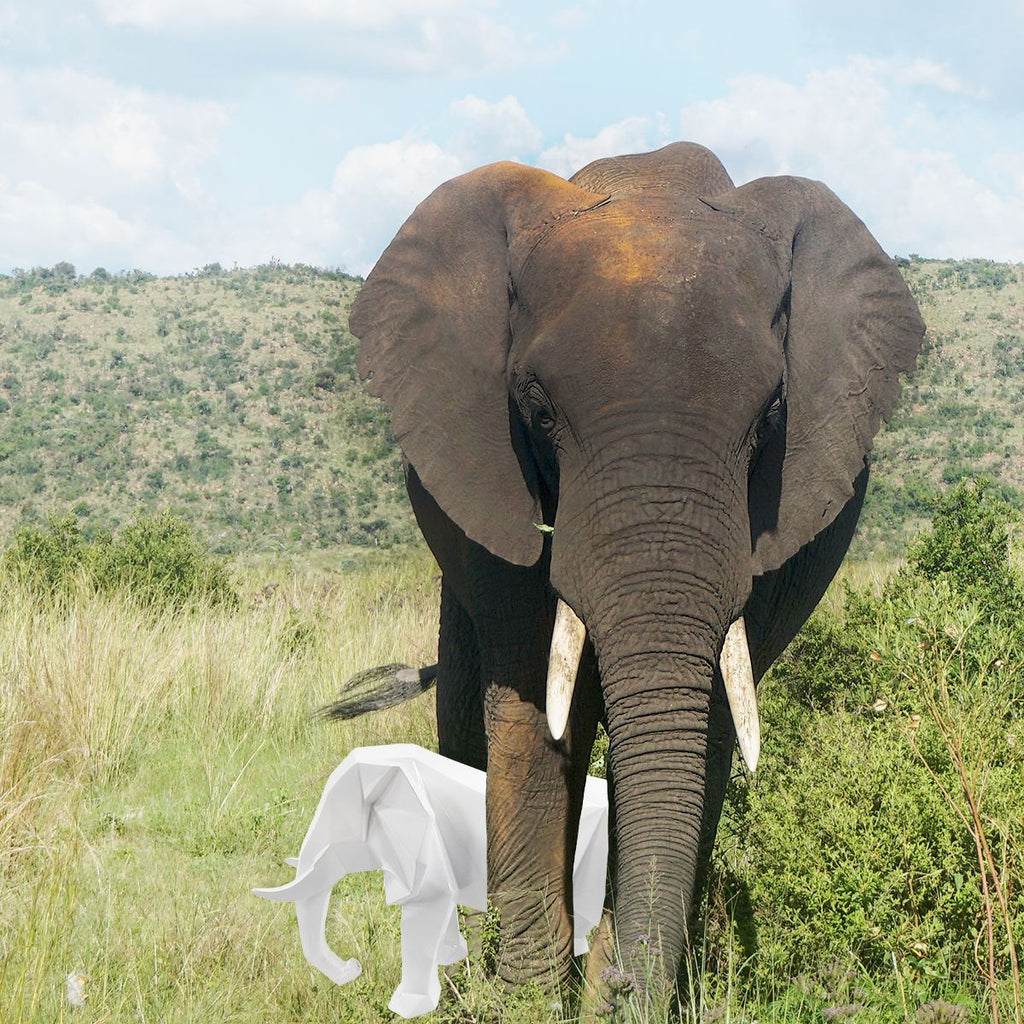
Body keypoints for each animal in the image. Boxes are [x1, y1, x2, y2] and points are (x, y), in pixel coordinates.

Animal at [345, 142, 925, 1000]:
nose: (619, 985)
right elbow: (532, 702)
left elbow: (704, 719)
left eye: (770, 417)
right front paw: (526, 999)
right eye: (538, 409)